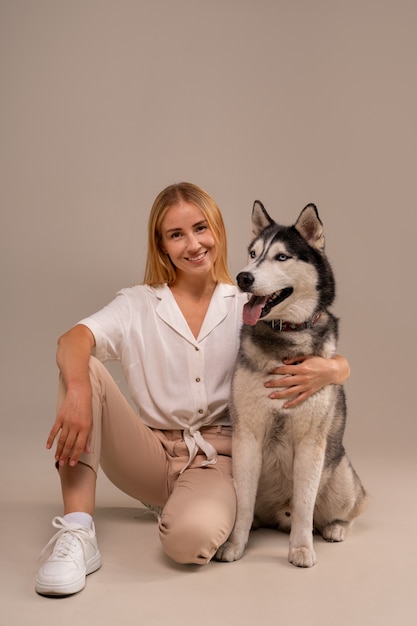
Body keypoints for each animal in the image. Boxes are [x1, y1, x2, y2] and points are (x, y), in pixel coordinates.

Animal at [216, 201, 366, 564]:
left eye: (281, 257)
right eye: (253, 253)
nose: (243, 277)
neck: (285, 338)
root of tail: (276, 516)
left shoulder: (311, 442)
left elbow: (304, 504)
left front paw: (301, 548)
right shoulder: (247, 437)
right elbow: (242, 503)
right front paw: (234, 545)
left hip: (341, 475)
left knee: (349, 508)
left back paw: (335, 528)